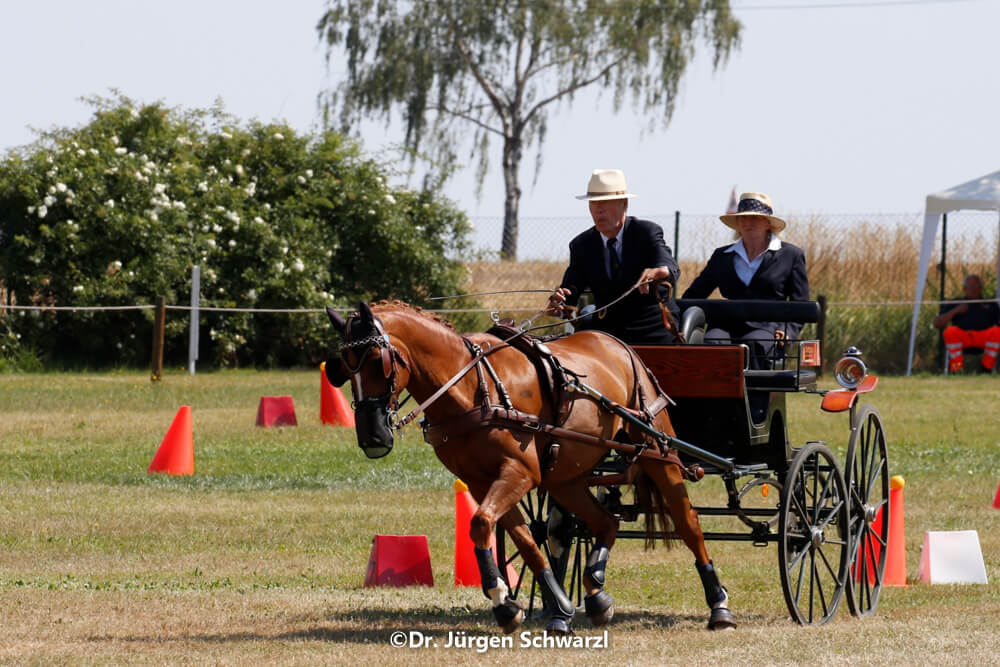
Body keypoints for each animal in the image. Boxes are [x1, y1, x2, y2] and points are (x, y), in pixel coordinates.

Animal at [328, 306, 736, 636]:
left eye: (377, 360)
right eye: (342, 365)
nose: (373, 437)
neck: (473, 386)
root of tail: (617, 343)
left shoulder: (520, 472)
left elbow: (481, 524)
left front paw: (503, 598)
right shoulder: (483, 481)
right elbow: (524, 540)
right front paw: (550, 608)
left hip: (658, 452)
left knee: (688, 523)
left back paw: (718, 605)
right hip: (567, 478)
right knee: (605, 522)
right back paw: (596, 592)